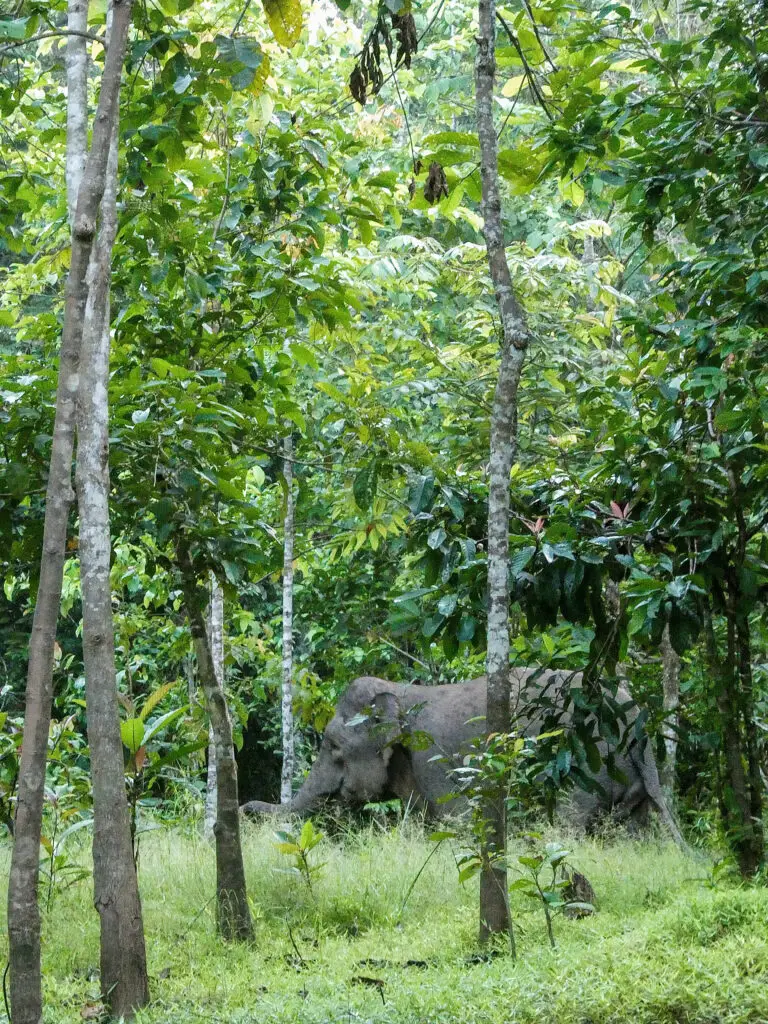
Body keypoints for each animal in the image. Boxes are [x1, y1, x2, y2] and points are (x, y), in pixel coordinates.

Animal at [241, 667, 684, 843]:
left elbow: (455, 819)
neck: (400, 692)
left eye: (333, 745)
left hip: (587, 761)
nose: (245, 808)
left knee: (572, 817)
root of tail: (639, 719)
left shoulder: (435, 758)